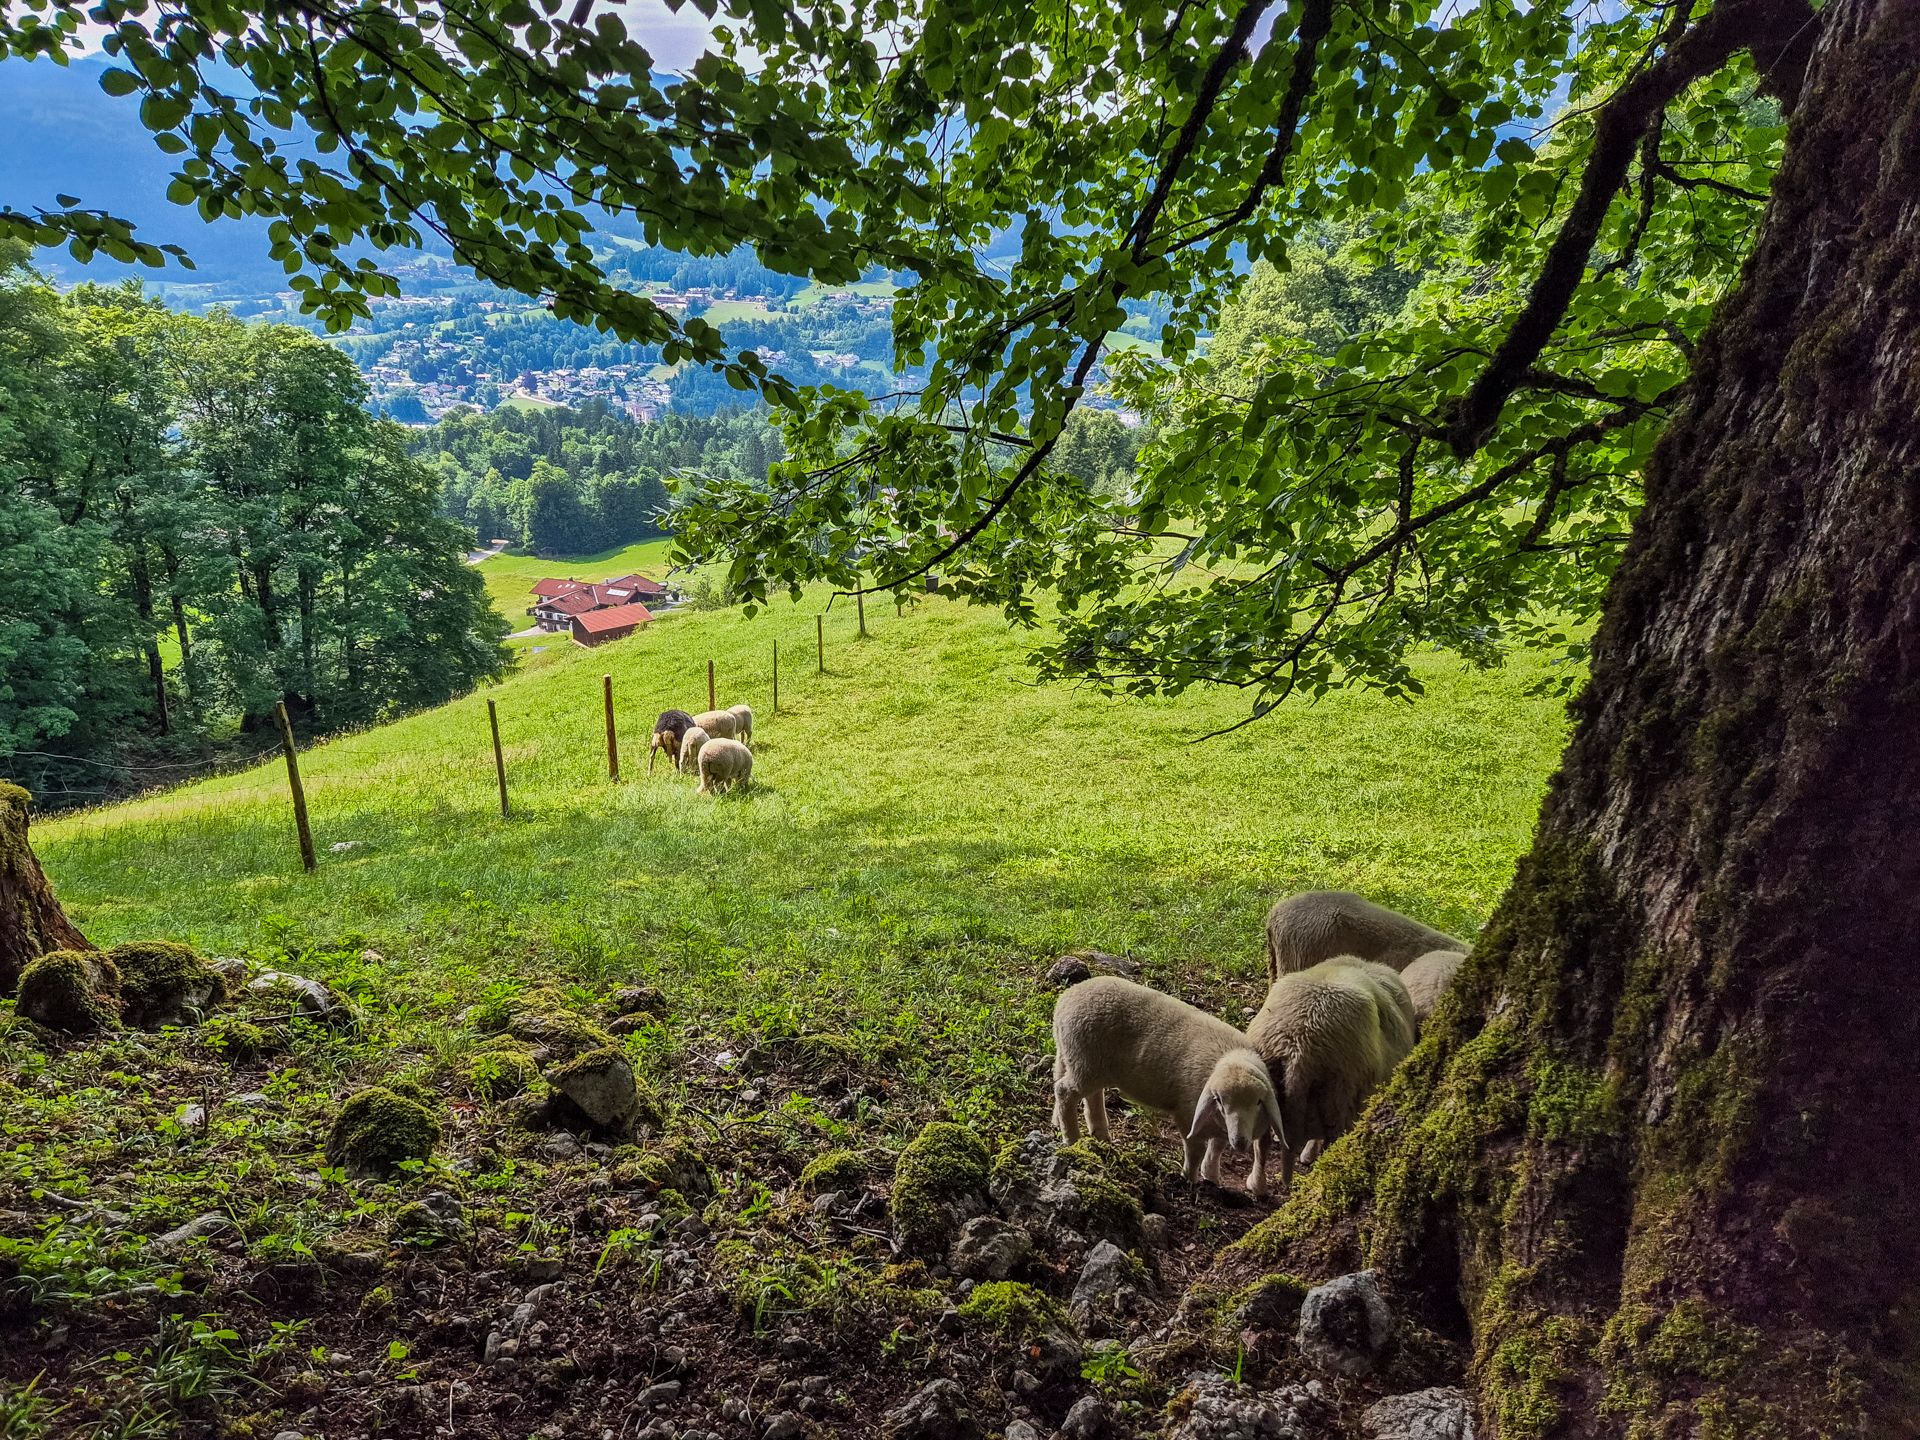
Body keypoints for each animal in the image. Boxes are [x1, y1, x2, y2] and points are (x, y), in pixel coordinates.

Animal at [1051, 975, 1286, 1198]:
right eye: (1219, 1100)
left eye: (1258, 1102)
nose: (1239, 1142)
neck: (1231, 1057)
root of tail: (1065, 1000)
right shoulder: (1188, 1114)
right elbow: (1196, 1149)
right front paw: (1189, 1179)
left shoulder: (1219, 1124)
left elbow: (1217, 1147)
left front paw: (1212, 1177)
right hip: (1086, 1061)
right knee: (1064, 1091)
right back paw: (1072, 1139)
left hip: (1082, 1060)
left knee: (1081, 1090)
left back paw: (1096, 1133)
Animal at [1247, 957, 1416, 1193]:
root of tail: (1299, 1044)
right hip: (1341, 1098)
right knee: (1332, 1148)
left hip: (1267, 1086)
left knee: (1261, 1142)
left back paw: (1257, 1185)